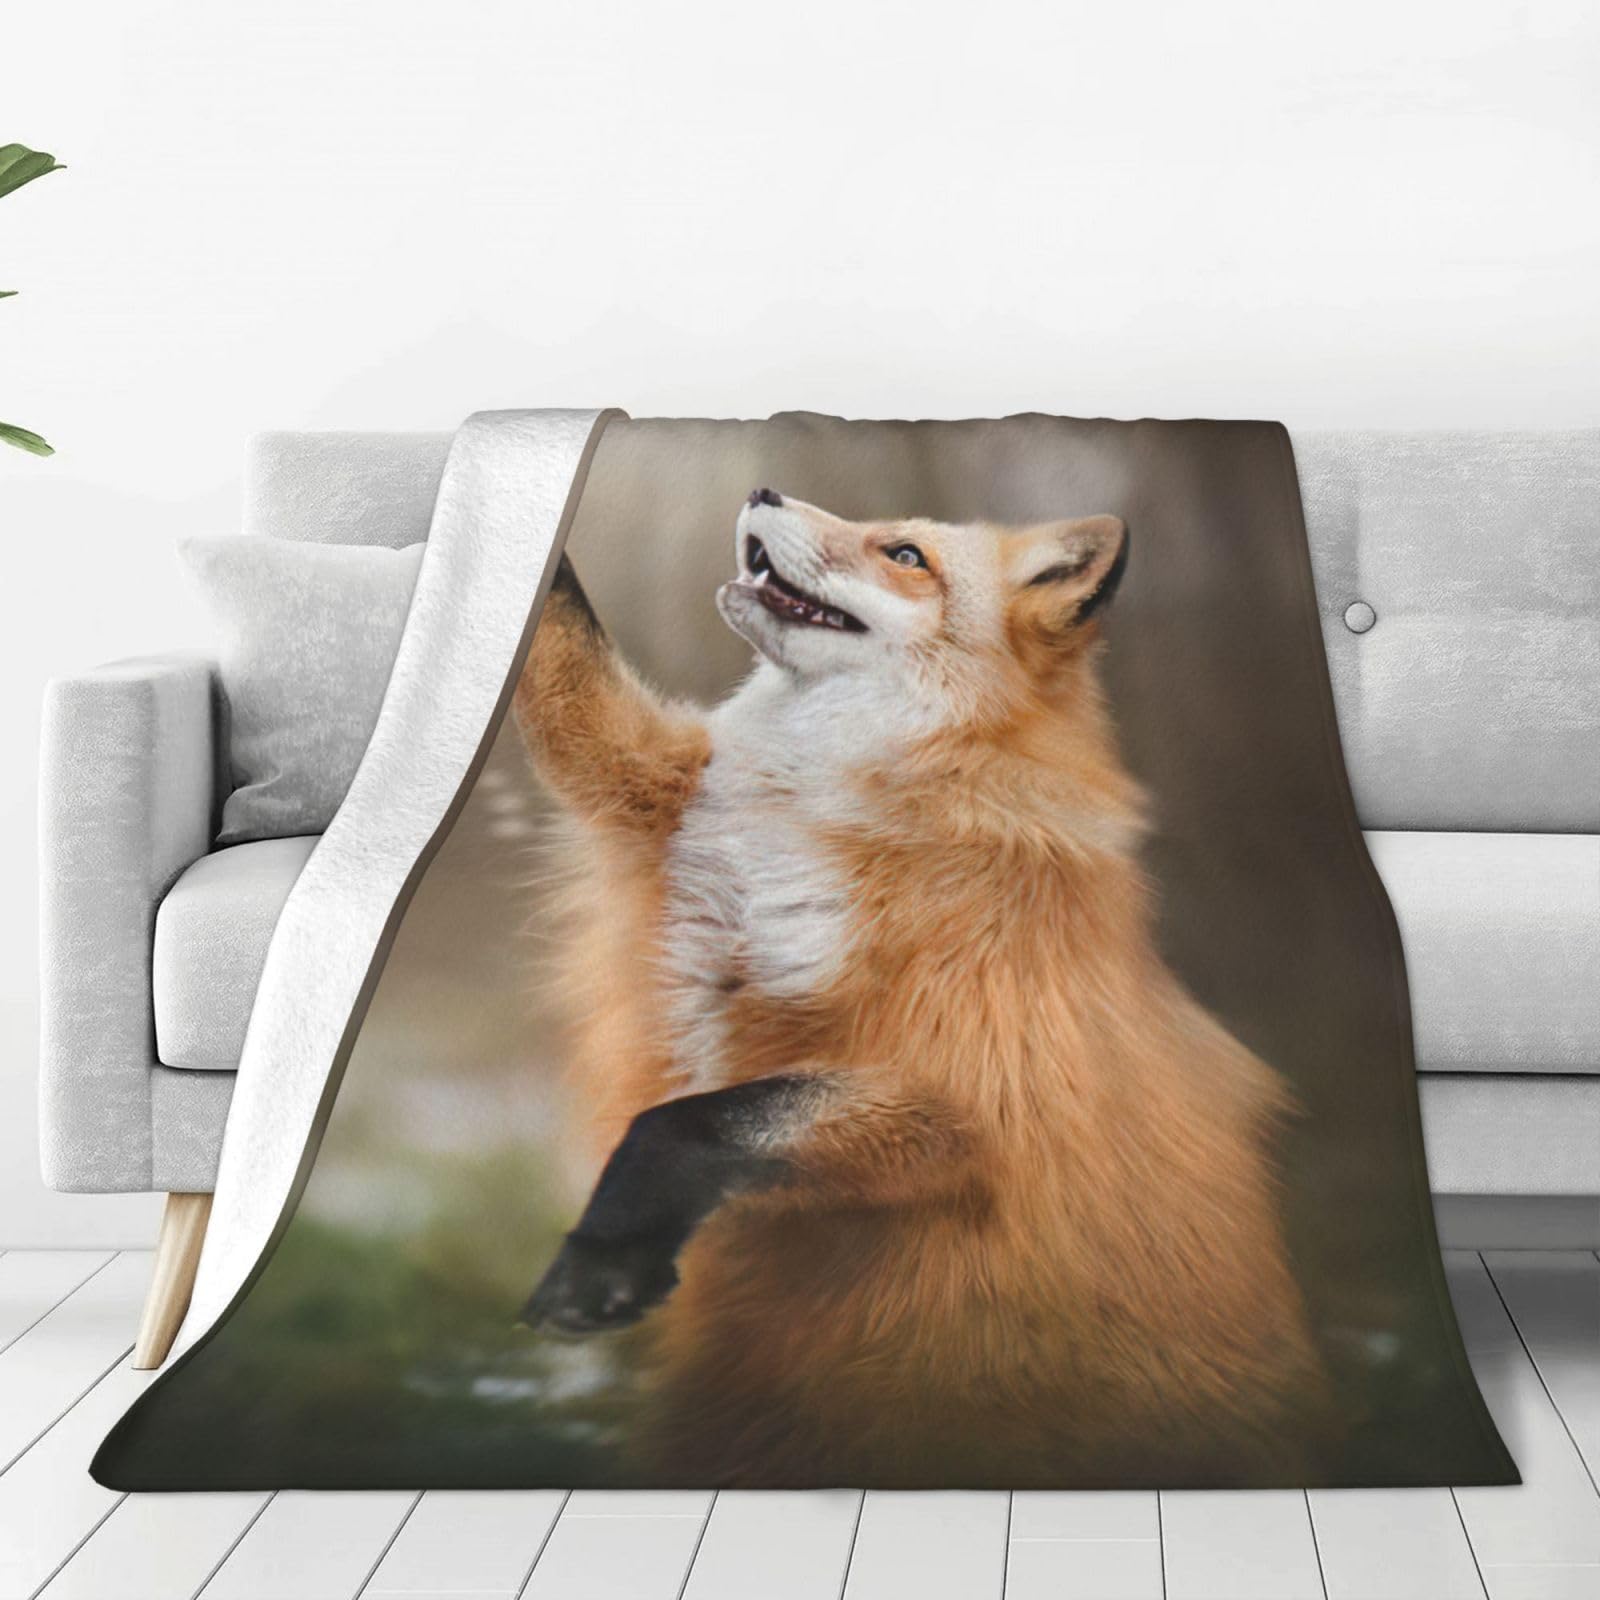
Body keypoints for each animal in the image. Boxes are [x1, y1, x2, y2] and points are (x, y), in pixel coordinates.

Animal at [511, 487, 1332, 1486]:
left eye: (904, 555)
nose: (761, 492)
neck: (814, 804)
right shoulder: (655, 796)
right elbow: (562, 655)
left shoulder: (974, 1092)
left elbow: (688, 1123)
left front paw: (600, 1262)